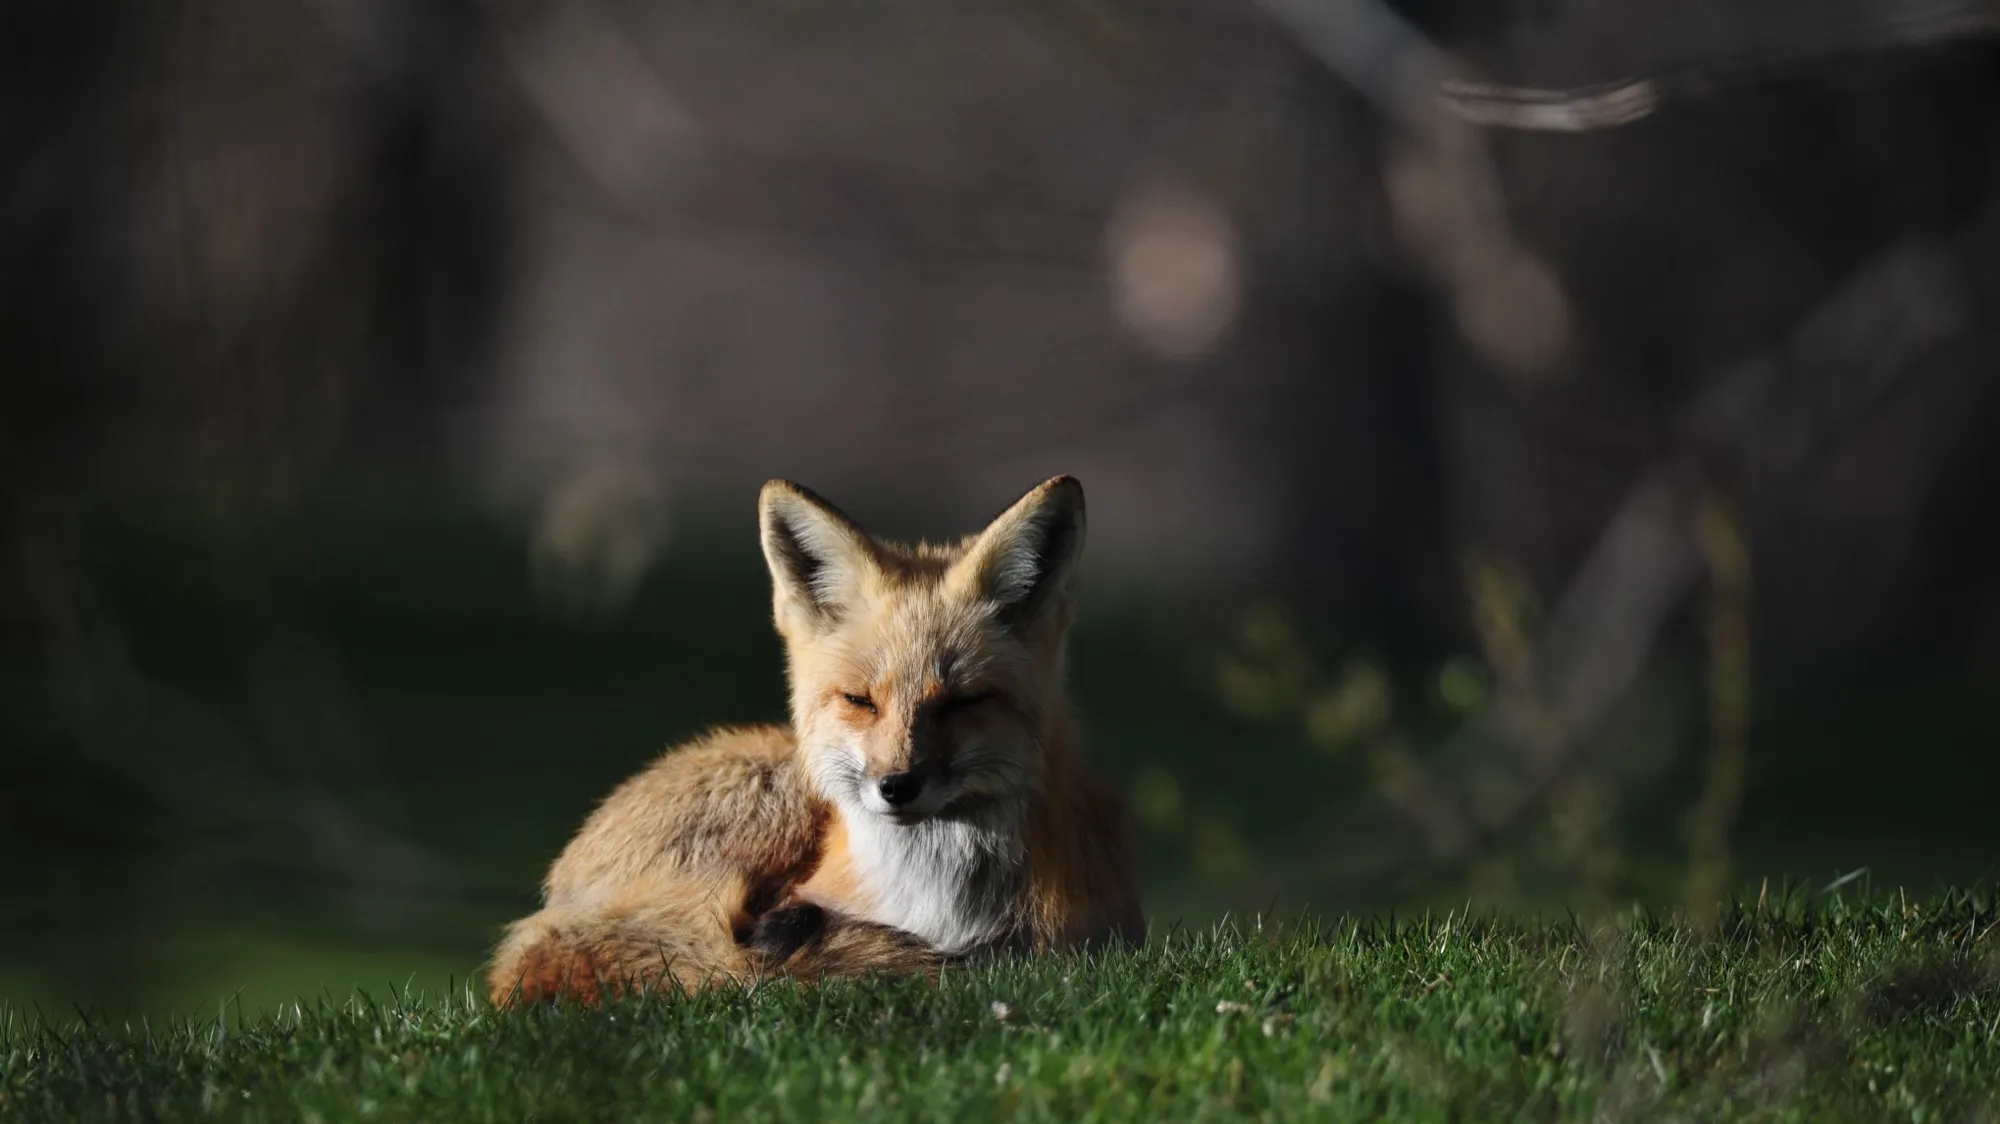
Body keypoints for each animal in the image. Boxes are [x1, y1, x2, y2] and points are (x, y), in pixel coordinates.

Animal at [486, 474, 1143, 1005]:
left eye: (962, 702)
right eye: (860, 700)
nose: (897, 786)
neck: (935, 905)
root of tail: (554, 896)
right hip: (772, 795)